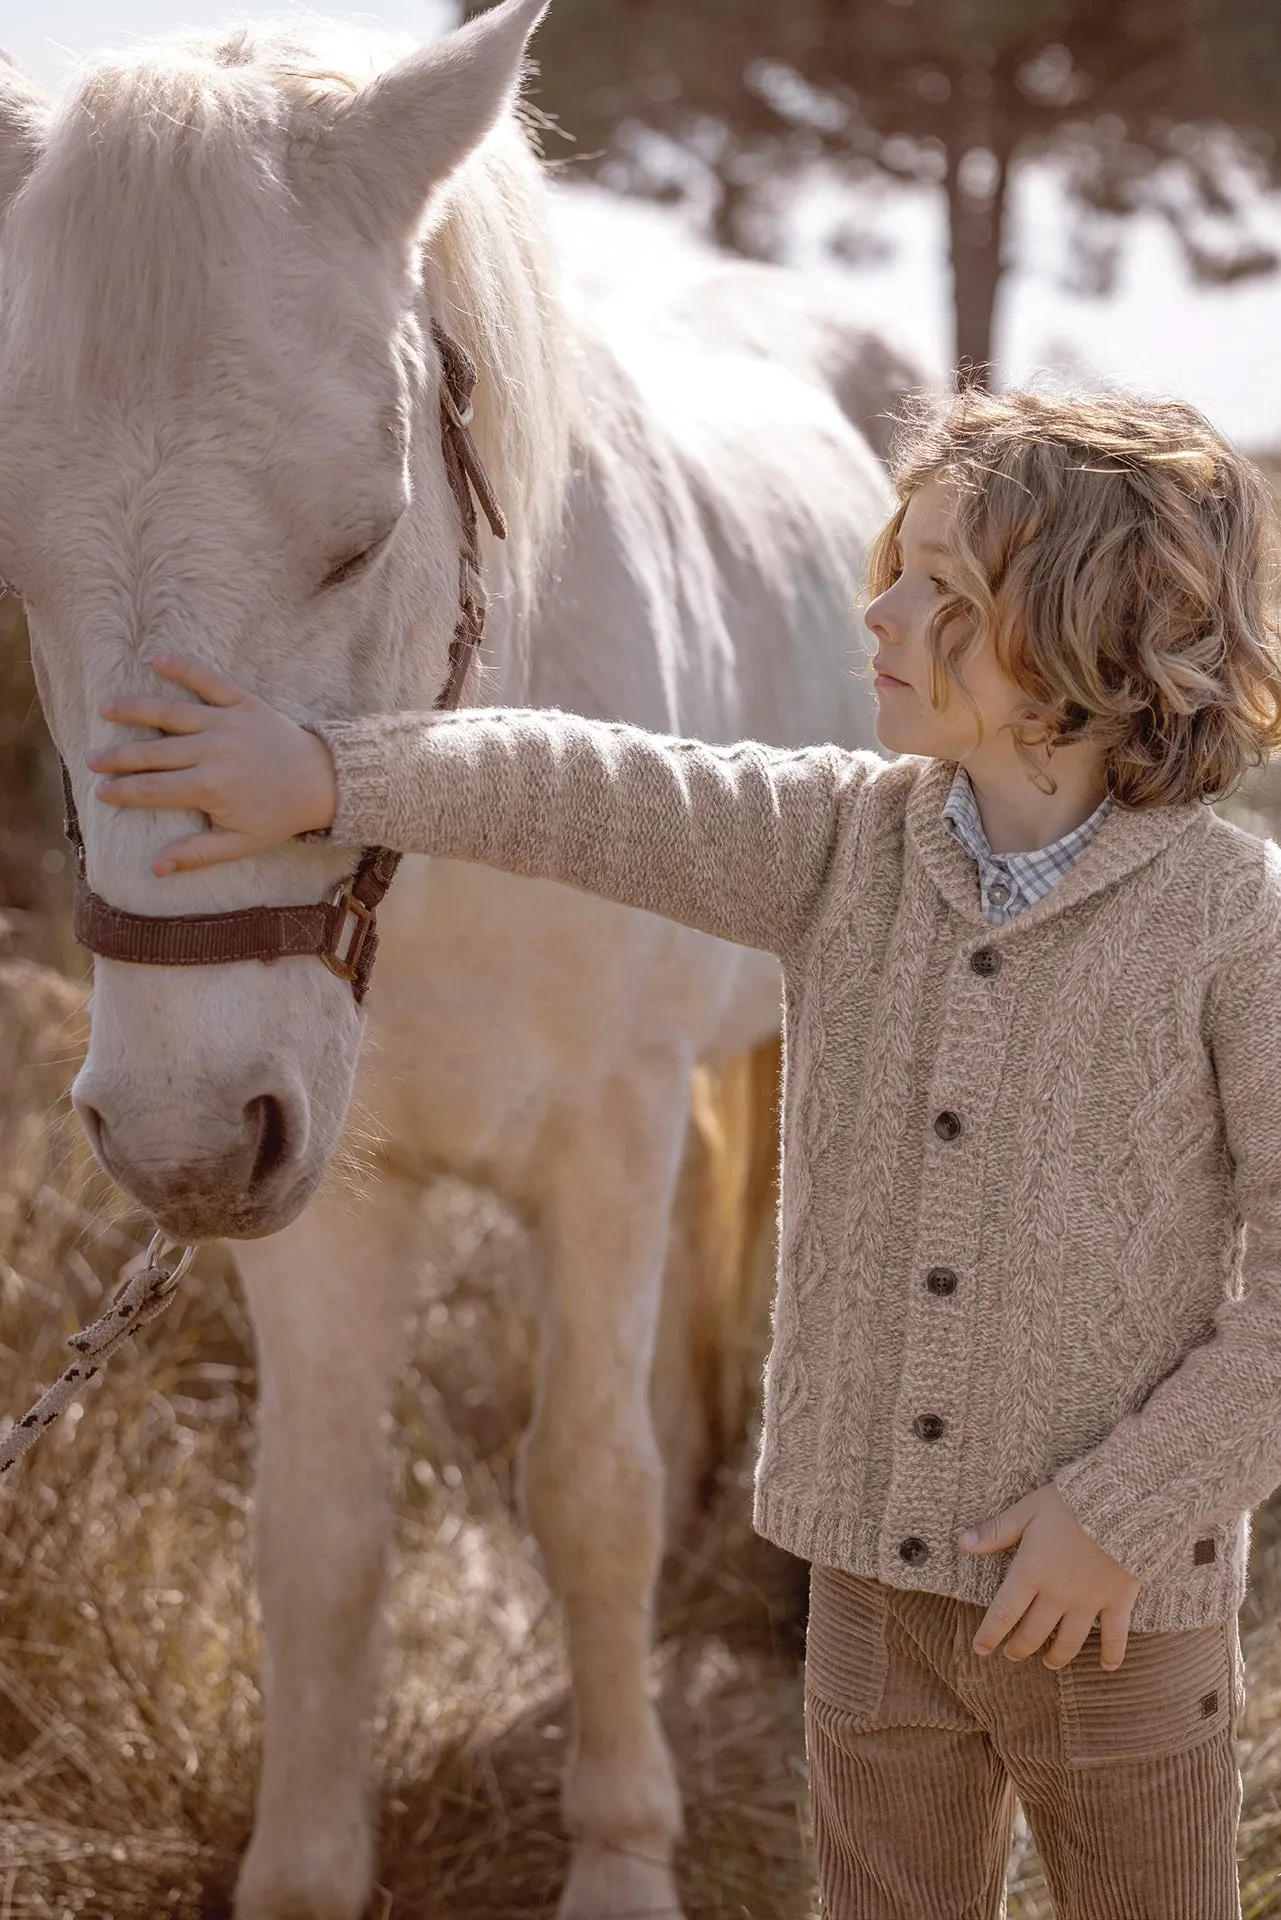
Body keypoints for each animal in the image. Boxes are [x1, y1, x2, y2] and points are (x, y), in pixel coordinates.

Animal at [0, 7, 902, 1912]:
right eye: (17, 564)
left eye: (360, 531)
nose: (169, 1133)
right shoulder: (313, 1179)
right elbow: (323, 1533)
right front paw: (304, 1866)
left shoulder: (603, 1140)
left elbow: (587, 1495)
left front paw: (623, 1853)